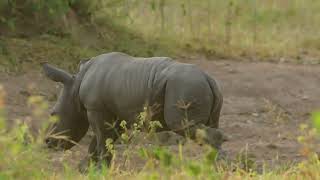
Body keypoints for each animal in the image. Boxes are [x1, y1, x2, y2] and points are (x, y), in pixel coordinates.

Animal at [42, 51, 225, 170]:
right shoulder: (115, 114)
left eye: (53, 114)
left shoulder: (95, 109)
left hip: (184, 86)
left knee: (182, 125)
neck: (75, 87)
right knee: (208, 127)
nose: (47, 142)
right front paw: (87, 168)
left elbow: (102, 140)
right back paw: (217, 167)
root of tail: (208, 78)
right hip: (199, 87)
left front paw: (100, 169)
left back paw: (218, 168)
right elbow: (102, 141)